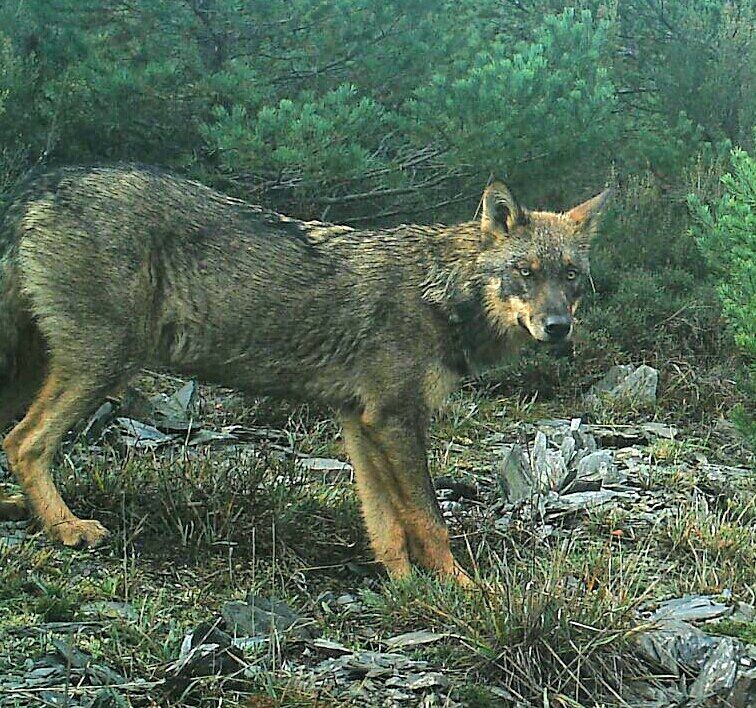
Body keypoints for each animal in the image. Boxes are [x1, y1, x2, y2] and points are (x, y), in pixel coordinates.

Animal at [0, 165, 609, 583]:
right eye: (525, 272)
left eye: (570, 276)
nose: (558, 328)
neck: (440, 292)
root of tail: (40, 188)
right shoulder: (395, 419)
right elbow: (429, 519)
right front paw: (462, 589)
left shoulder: (360, 422)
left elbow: (387, 525)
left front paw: (405, 587)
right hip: (100, 366)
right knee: (25, 443)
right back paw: (65, 527)